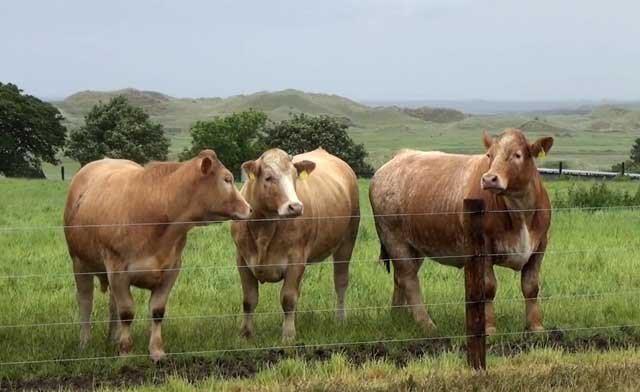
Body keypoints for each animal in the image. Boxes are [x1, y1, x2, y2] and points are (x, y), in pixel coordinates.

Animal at [62, 149, 251, 362]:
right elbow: (126, 312)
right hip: (80, 263)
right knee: (85, 301)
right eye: (227, 179)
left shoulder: (171, 270)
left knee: (112, 305)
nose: (249, 208)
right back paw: (85, 342)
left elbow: (157, 311)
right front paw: (126, 352)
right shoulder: (117, 270)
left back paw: (112, 338)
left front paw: (156, 351)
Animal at [230, 149, 360, 342]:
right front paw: (245, 334)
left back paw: (340, 319)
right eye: (268, 177)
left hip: (347, 240)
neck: (264, 228)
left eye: (294, 177)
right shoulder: (242, 260)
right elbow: (249, 300)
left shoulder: (296, 260)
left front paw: (289, 335)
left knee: (341, 282)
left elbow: (288, 299)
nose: (296, 207)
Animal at [370, 129, 556, 334]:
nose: (489, 179)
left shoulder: (540, 246)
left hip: (414, 245)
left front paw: (536, 327)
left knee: (400, 277)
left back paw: (398, 316)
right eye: (489, 155)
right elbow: (488, 288)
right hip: (394, 238)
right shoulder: (483, 248)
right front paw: (489, 328)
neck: (520, 212)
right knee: (408, 278)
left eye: (517, 155)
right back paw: (426, 323)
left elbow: (531, 287)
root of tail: (398, 157)